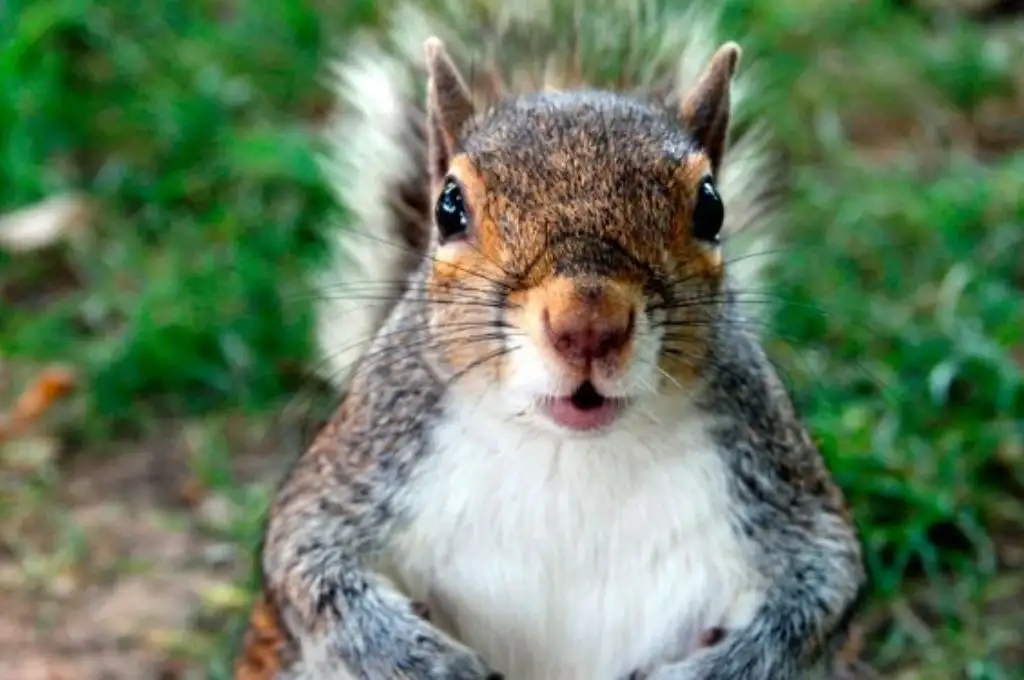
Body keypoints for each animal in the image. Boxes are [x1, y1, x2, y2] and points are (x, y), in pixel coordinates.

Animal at [234, 1, 870, 679]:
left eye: (711, 207)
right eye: (449, 208)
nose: (587, 325)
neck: (567, 453)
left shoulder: (775, 478)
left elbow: (821, 583)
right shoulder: (365, 458)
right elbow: (307, 559)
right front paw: (417, 657)